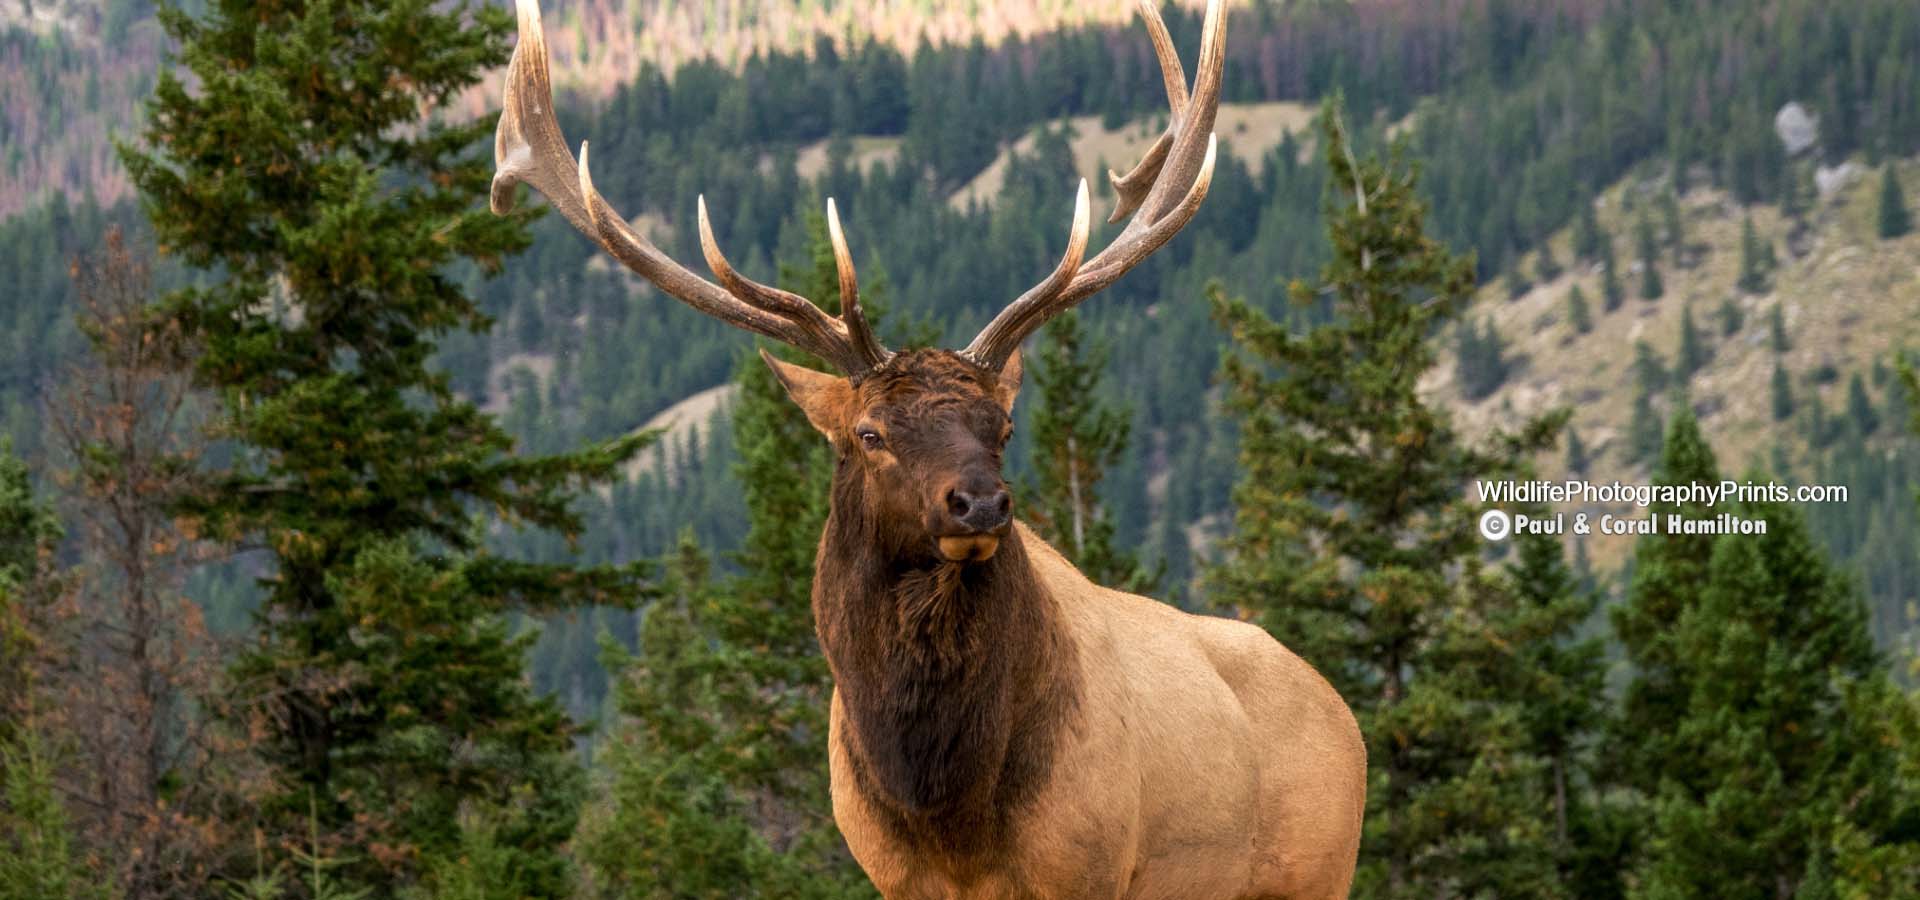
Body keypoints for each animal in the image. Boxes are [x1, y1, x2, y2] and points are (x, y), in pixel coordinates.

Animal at [495, 0, 1367, 890]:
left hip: (1318, 871)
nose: (979, 502)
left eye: (1003, 427)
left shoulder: (1089, 868)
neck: (947, 815)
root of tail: (1342, 710)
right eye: (869, 432)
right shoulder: (888, 873)